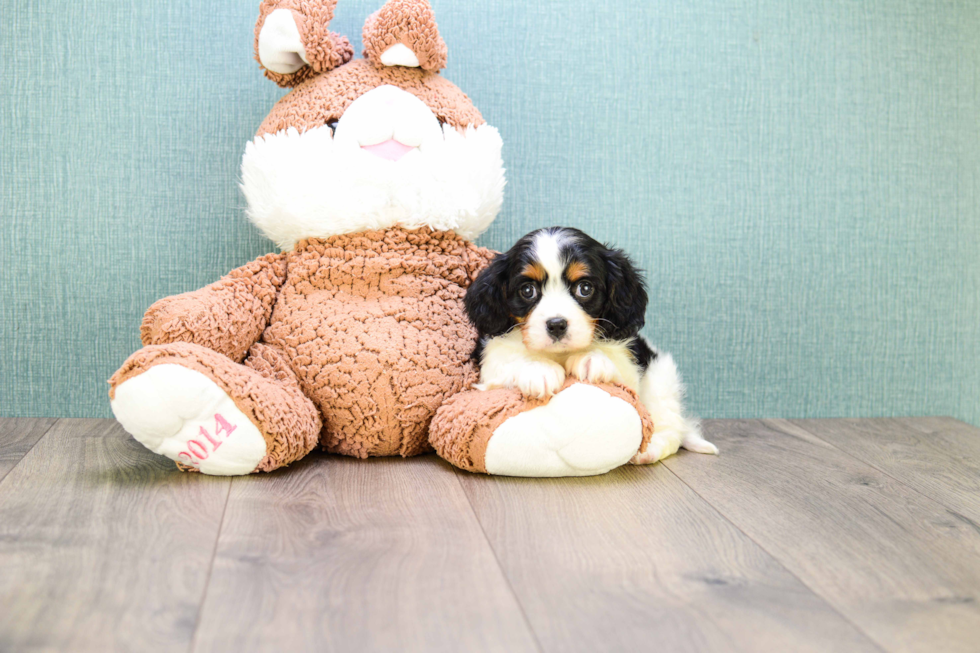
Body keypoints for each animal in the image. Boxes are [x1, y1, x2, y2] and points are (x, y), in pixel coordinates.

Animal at [464, 227, 716, 460]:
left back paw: (650, 449)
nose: (556, 324)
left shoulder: (631, 363)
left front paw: (591, 359)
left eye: (584, 288)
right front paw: (538, 369)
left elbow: (615, 363)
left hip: (660, 377)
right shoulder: (491, 357)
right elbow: (508, 359)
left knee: (671, 428)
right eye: (527, 290)